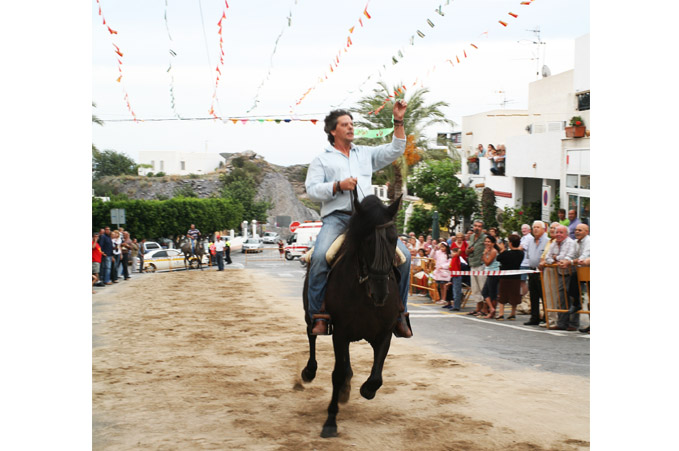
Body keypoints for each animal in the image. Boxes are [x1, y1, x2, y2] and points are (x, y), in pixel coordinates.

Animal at [300, 193, 402, 438]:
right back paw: (309, 371)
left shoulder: (384, 334)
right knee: (311, 337)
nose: (380, 293)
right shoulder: (341, 334)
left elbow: (376, 377)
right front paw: (330, 422)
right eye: (366, 240)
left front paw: (366, 390)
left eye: (394, 238)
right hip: (311, 316)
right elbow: (336, 374)